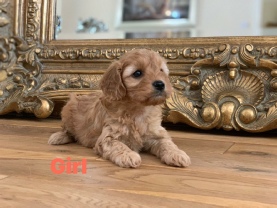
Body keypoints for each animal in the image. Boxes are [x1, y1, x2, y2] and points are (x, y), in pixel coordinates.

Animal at [48, 48, 190, 167]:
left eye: (161, 71)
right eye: (137, 73)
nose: (160, 84)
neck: (138, 110)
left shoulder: (156, 133)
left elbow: (167, 143)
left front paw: (177, 154)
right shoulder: (108, 137)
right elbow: (118, 145)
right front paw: (129, 155)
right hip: (67, 110)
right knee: (67, 130)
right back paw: (58, 137)